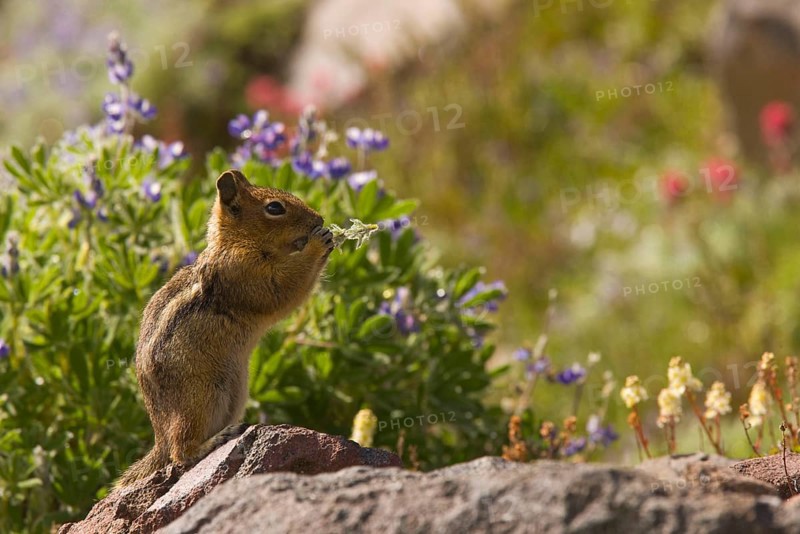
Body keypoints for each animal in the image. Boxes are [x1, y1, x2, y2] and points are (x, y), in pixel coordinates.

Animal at [116, 169, 333, 486]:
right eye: (275, 208)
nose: (319, 219)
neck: (237, 242)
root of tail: (159, 438)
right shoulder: (244, 270)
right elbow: (283, 289)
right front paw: (320, 242)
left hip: (235, 394)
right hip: (199, 399)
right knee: (180, 453)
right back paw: (215, 441)